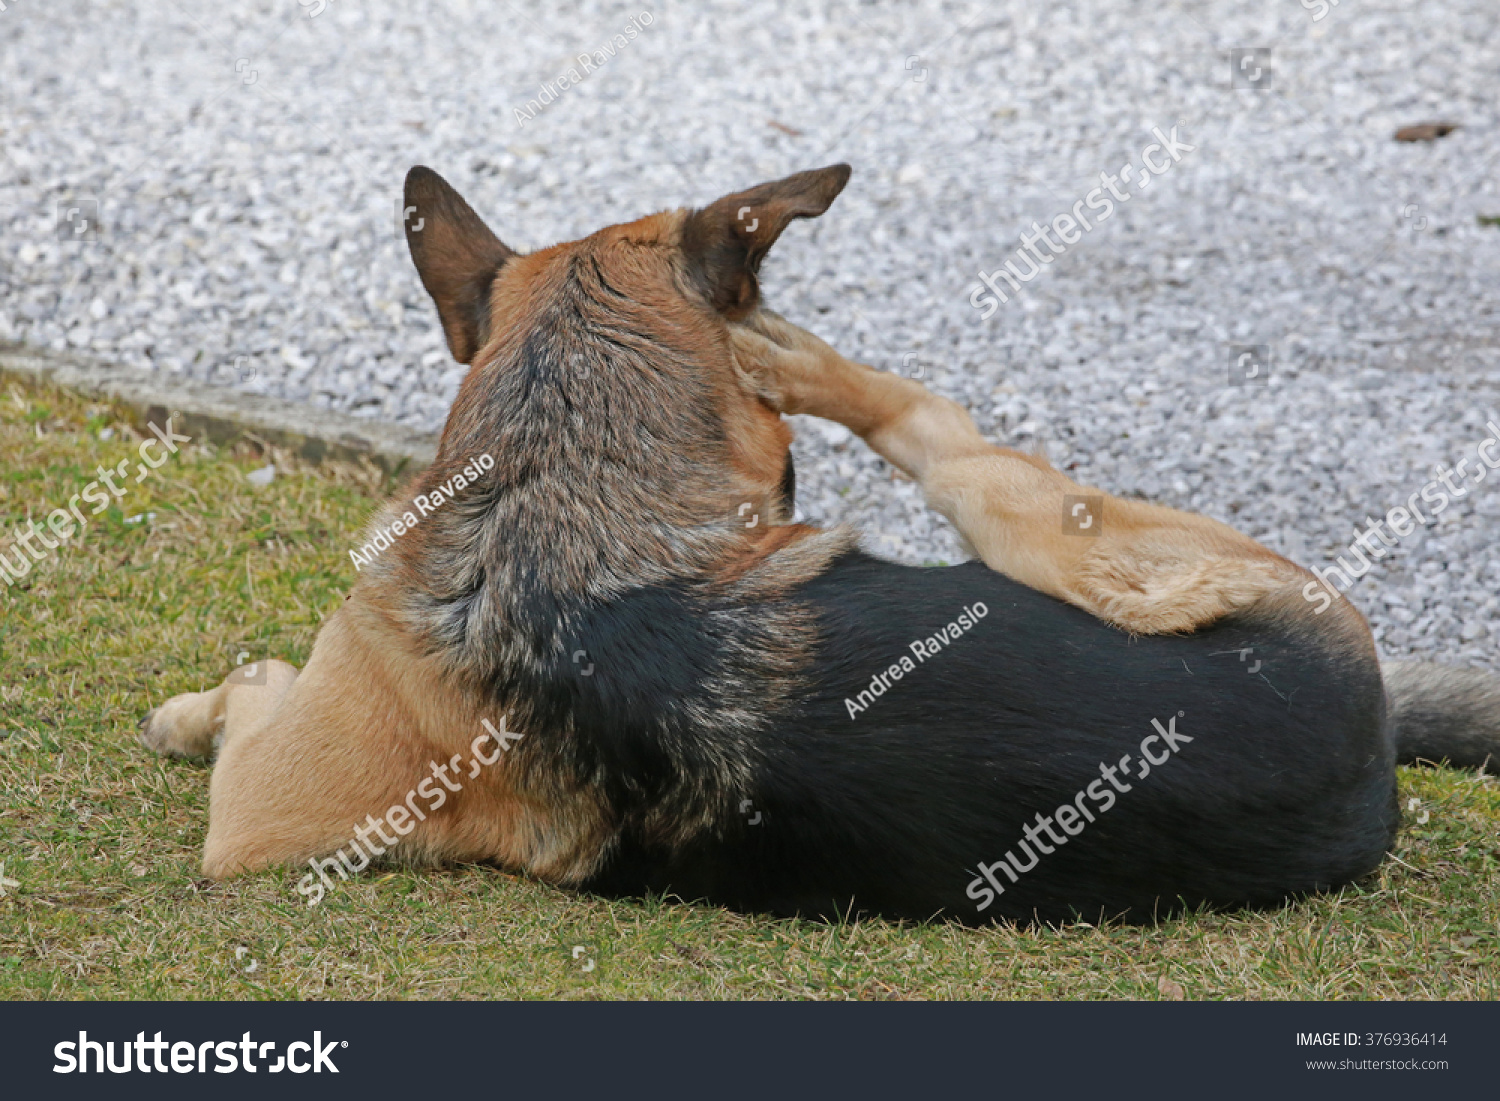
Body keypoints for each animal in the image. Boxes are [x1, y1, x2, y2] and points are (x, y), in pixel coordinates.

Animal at [143, 163, 1500, 924]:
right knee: (940, 431)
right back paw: (794, 355)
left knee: (942, 432)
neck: (555, 494)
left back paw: (792, 354)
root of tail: (1369, 756)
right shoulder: (270, 823)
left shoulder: (260, 820)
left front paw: (209, 700)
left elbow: (255, 692)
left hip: (1067, 536)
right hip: (1071, 540)